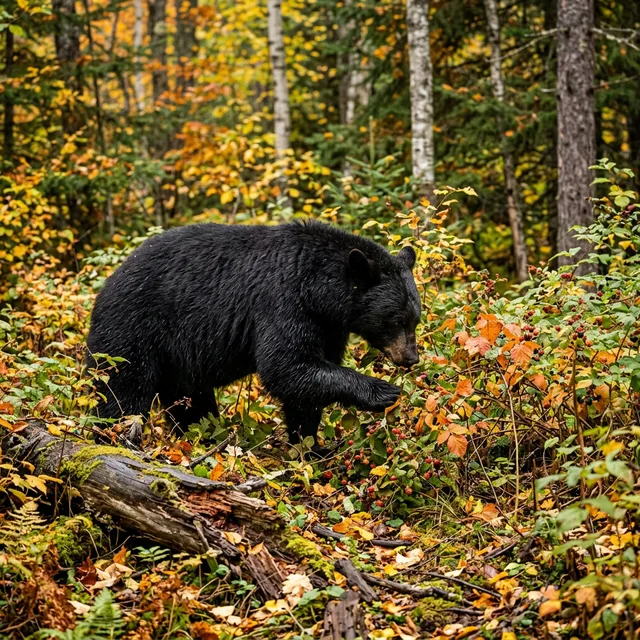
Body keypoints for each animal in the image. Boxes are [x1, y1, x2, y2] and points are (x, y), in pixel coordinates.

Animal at [86, 221, 421, 445]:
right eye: (395, 319)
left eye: (415, 319)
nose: (410, 358)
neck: (317, 289)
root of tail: (106, 284)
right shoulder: (283, 302)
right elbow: (286, 365)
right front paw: (383, 391)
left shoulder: (328, 326)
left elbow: (307, 385)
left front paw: (309, 445)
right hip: (132, 328)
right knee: (122, 390)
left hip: (176, 361)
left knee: (191, 403)